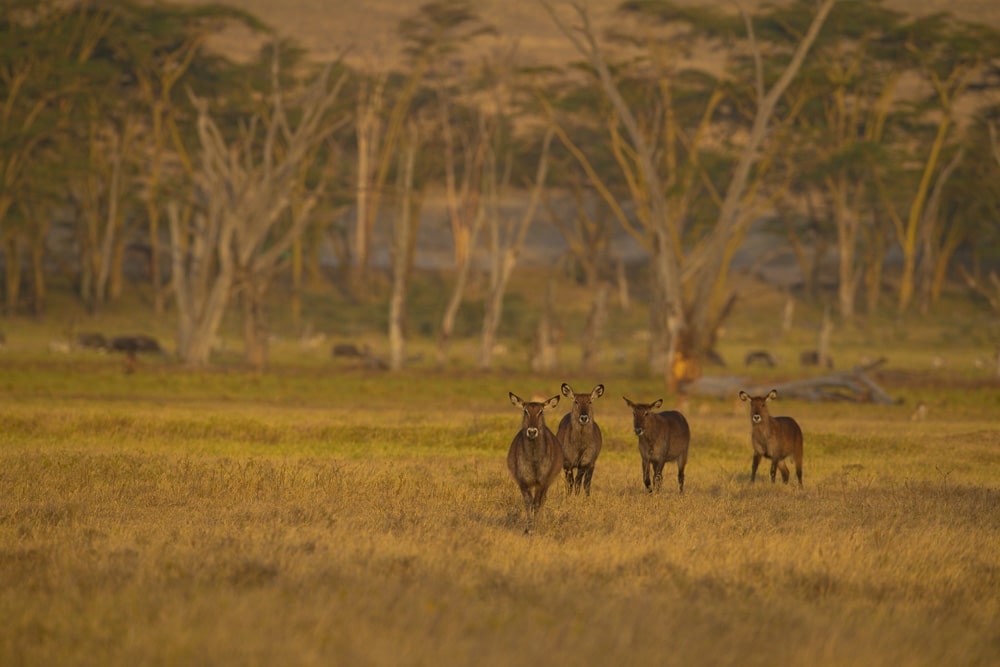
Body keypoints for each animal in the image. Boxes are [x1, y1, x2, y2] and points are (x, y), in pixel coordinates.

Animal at [508, 394, 564, 536]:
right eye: (525, 411)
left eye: (541, 411)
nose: (532, 432)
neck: (533, 459)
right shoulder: (523, 482)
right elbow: (528, 504)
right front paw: (529, 528)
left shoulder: (542, 482)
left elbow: (537, 504)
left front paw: (535, 527)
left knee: (542, 500)